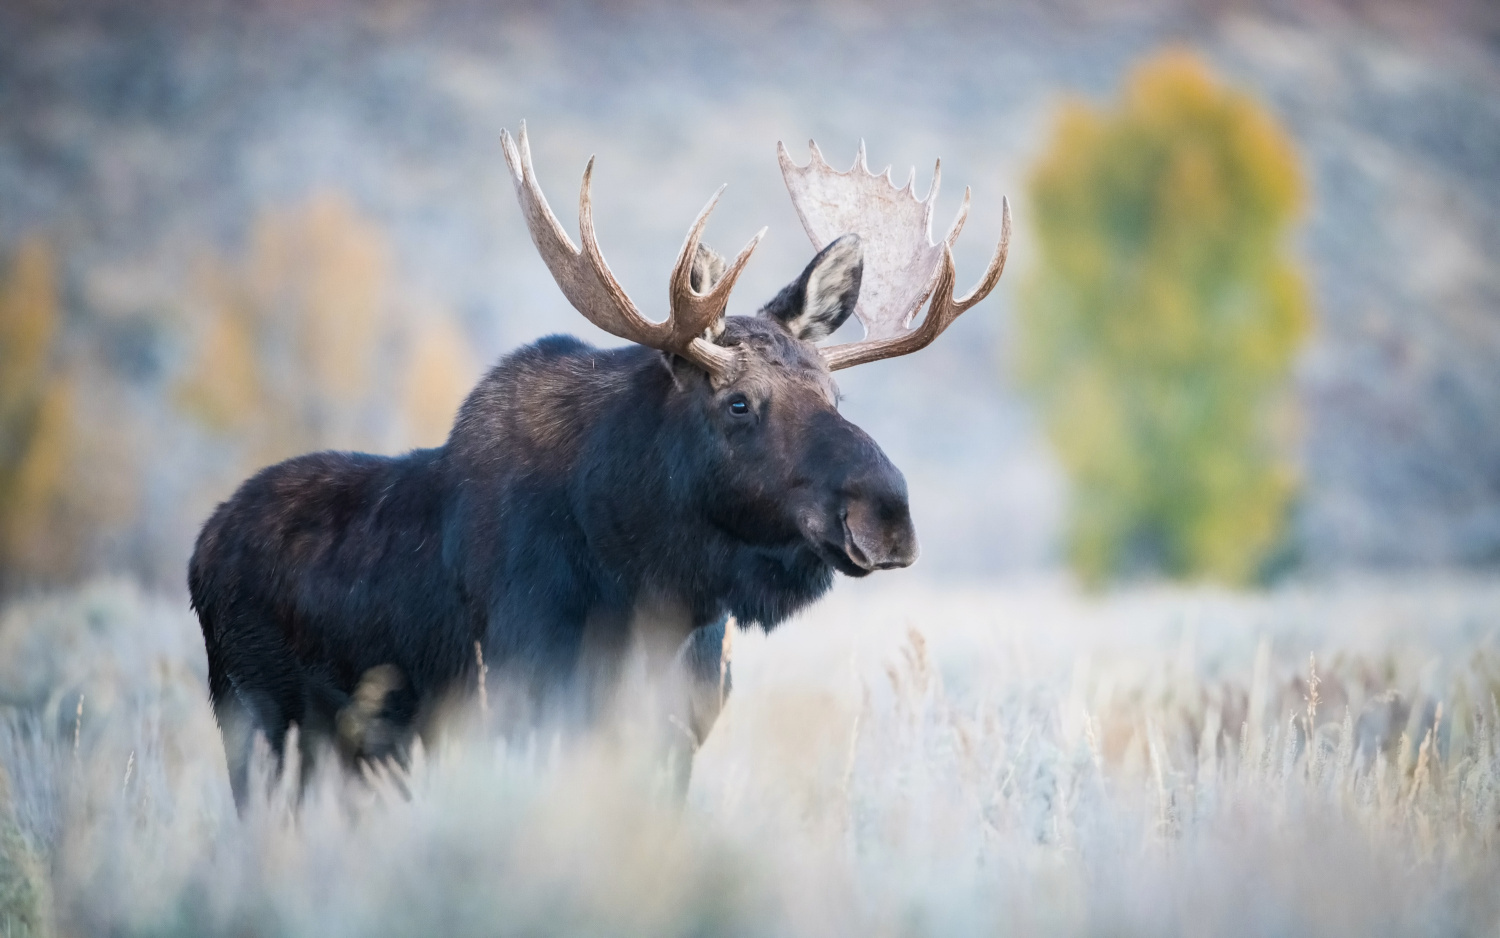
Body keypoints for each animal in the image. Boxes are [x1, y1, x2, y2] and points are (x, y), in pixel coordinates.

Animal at [184, 120, 1008, 798]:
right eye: (738, 403)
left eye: (836, 393)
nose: (887, 514)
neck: (651, 586)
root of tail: (203, 547)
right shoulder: (517, 710)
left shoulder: (677, 737)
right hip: (258, 725)